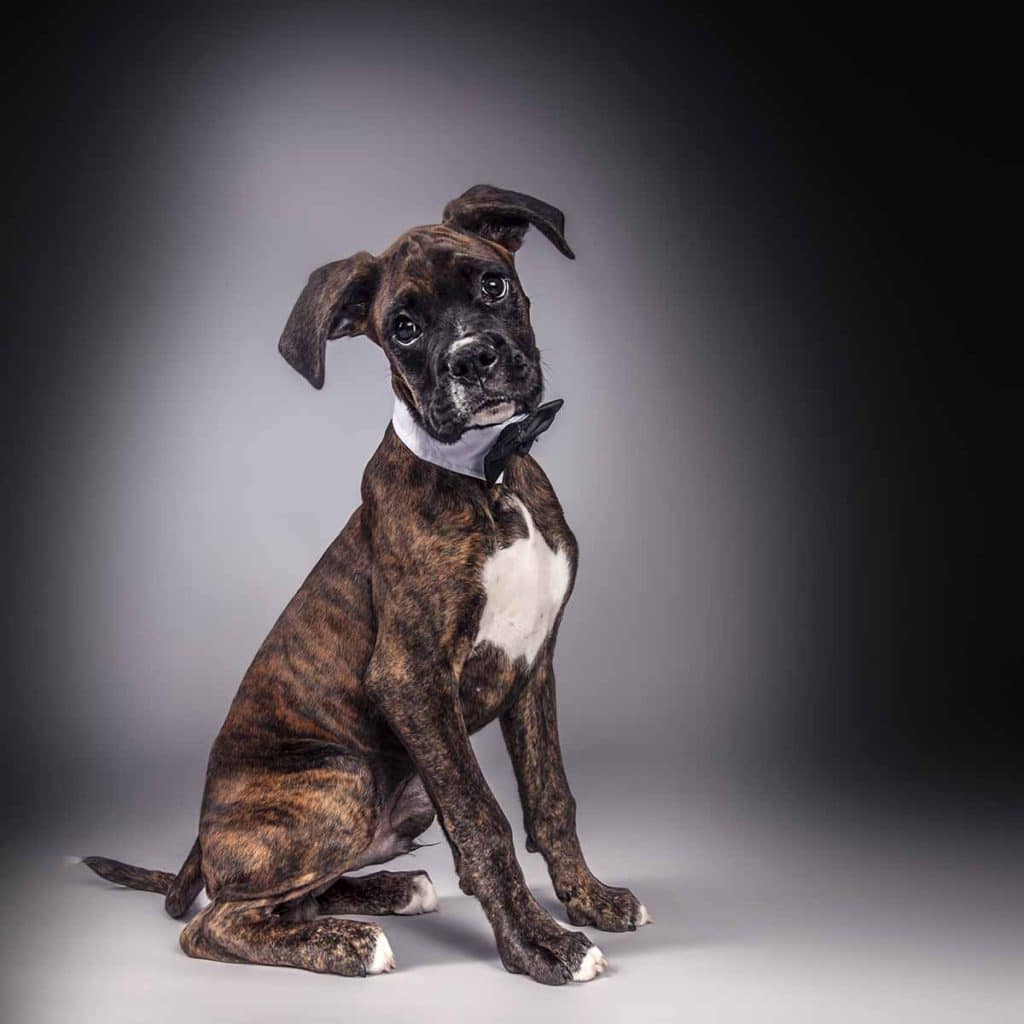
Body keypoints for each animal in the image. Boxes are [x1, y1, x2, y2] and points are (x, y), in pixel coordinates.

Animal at [86, 184, 647, 983]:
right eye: (403, 328)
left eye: (493, 284)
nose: (472, 359)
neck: (490, 477)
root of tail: (200, 844)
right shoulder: (411, 677)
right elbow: (483, 819)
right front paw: (539, 943)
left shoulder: (535, 665)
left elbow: (551, 798)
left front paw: (589, 898)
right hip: (342, 776)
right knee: (215, 923)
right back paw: (352, 943)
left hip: (402, 793)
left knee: (294, 898)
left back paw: (391, 889)